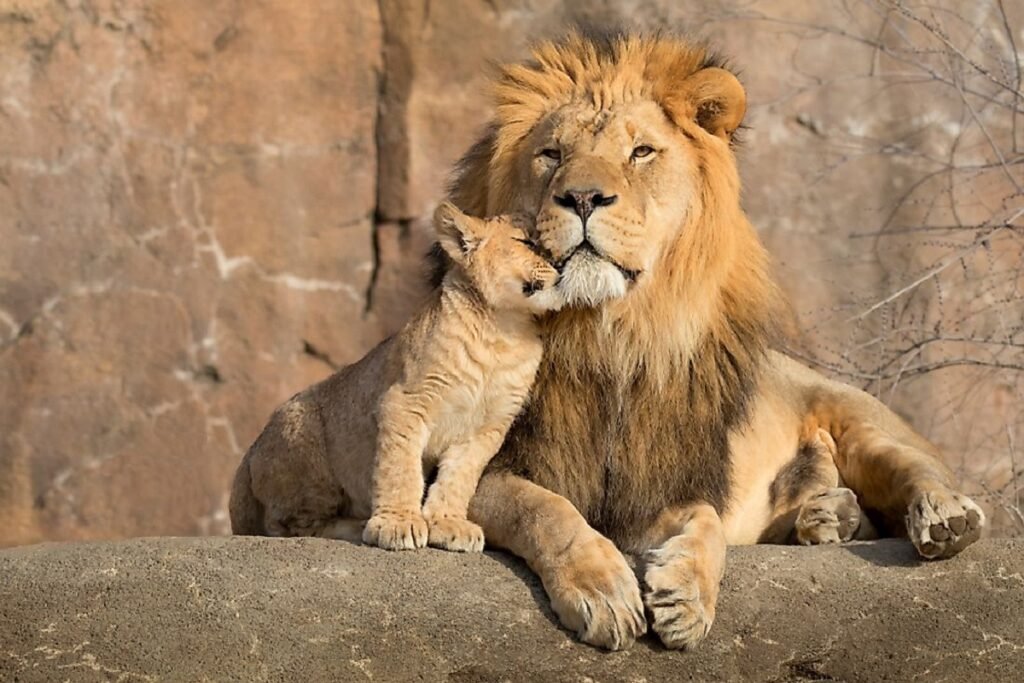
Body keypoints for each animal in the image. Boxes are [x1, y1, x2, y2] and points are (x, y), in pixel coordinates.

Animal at [229, 203, 562, 553]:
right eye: (526, 242)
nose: (562, 264)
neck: (504, 330)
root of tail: (248, 455)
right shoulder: (405, 401)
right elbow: (400, 468)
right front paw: (398, 523)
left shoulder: (488, 428)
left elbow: (459, 477)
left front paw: (448, 523)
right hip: (303, 440)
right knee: (287, 527)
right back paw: (357, 525)